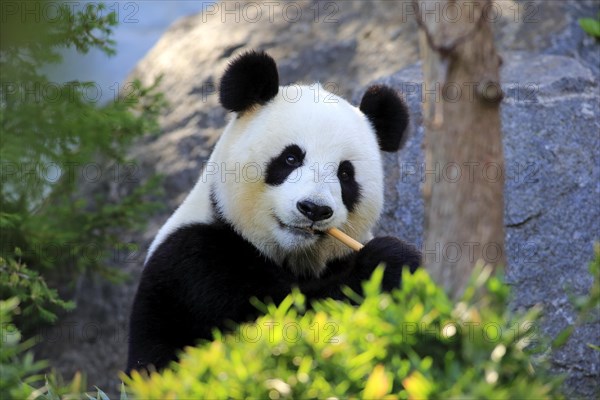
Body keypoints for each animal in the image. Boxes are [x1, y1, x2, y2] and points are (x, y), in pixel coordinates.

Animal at [126, 51, 420, 374]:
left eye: (345, 174)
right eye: (291, 158)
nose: (314, 209)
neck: (292, 255)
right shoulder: (195, 263)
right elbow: (276, 320)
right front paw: (388, 261)